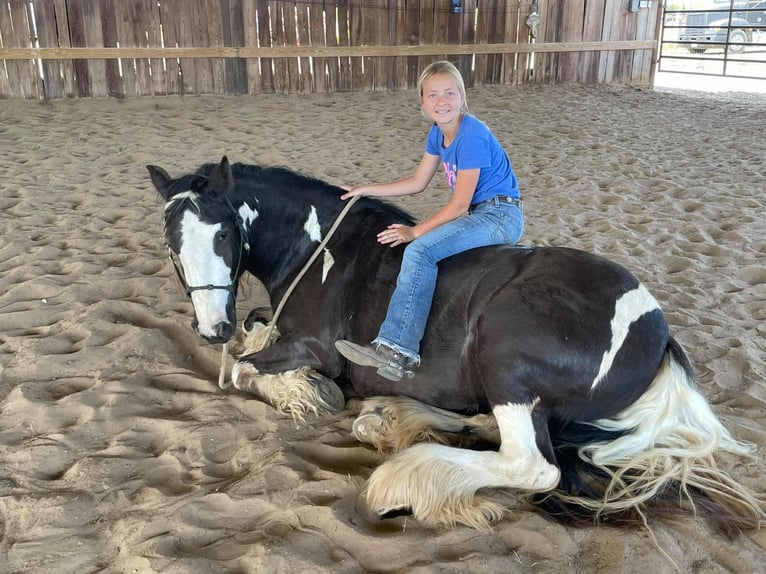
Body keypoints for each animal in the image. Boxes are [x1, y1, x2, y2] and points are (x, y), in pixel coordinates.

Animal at [147, 156, 764, 532]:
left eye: (224, 234)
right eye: (172, 242)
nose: (212, 328)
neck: (320, 248)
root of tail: (655, 331)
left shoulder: (316, 348)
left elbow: (248, 369)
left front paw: (307, 392)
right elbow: (253, 340)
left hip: (504, 353)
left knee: (532, 465)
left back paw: (409, 472)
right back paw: (392, 418)